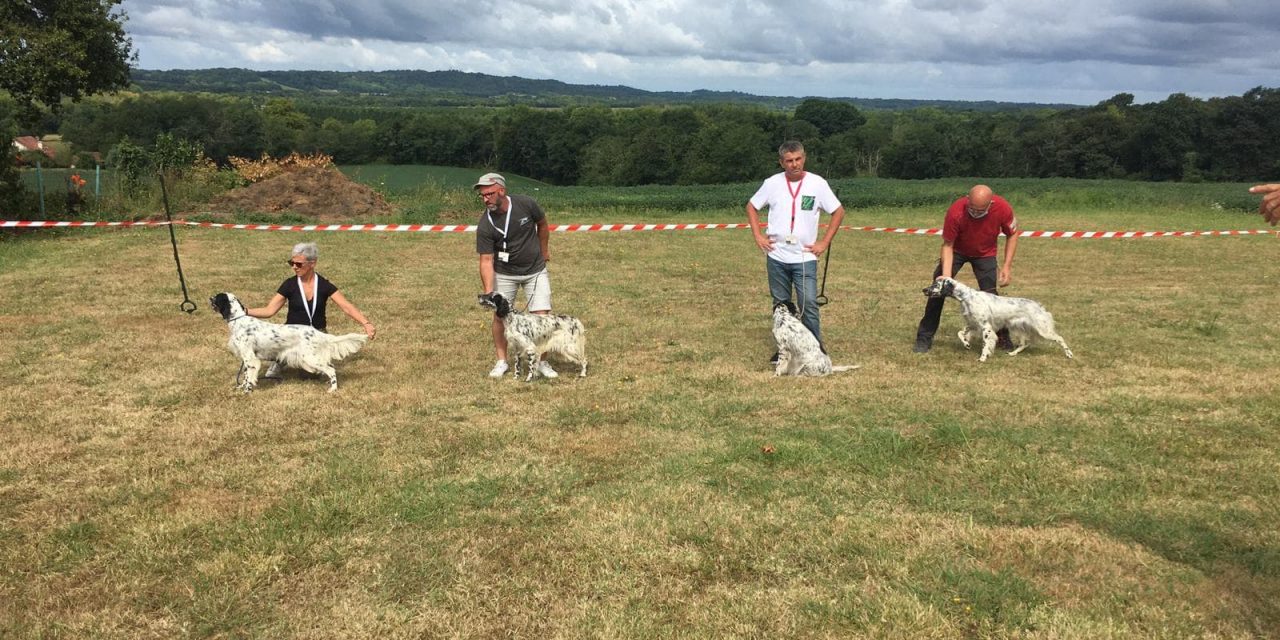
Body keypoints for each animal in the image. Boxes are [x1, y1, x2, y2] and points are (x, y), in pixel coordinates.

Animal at [209, 293, 371, 391]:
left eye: (218, 297)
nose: (209, 297)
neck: (239, 321)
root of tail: (315, 332)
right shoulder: (246, 357)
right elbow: (245, 375)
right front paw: (240, 387)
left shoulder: (250, 357)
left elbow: (249, 376)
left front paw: (247, 391)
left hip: (310, 357)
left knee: (331, 370)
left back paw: (333, 389)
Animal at [926, 277, 1075, 363]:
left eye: (936, 284)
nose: (923, 290)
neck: (967, 297)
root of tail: (1039, 306)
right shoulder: (972, 324)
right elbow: (960, 333)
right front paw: (967, 344)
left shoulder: (986, 327)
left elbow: (986, 343)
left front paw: (983, 358)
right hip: (1019, 328)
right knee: (1025, 343)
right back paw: (1012, 353)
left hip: (1042, 329)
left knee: (1060, 338)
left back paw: (1069, 354)